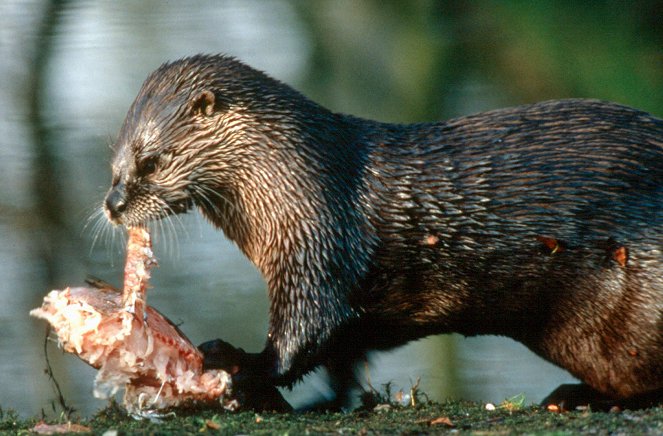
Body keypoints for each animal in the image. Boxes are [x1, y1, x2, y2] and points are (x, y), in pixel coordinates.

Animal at [105, 53, 663, 408]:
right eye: (115, 162)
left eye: (151, 162)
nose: (113, 204)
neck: (295, 181)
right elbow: (345, 356)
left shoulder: (317, 248)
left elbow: (303, 335)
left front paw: (237, 363)